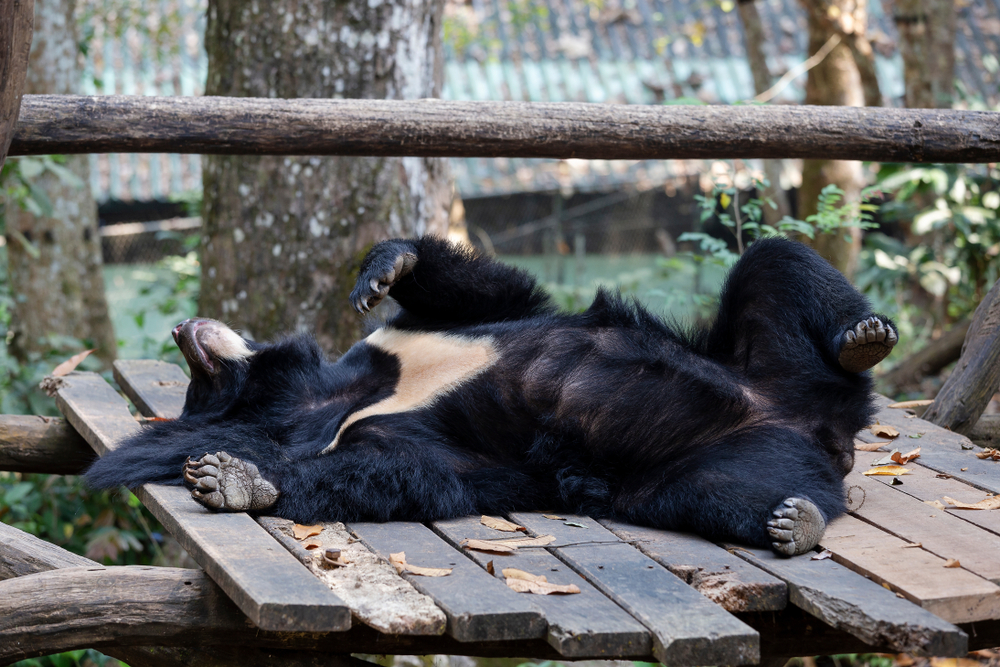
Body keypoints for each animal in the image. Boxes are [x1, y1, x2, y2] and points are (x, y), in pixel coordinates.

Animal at [88, 237, 900, 556]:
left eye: (198, 379)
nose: (184, 327)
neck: (337, 390)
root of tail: (826, 433)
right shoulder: (380, 433)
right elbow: (398, 471)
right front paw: (232, 478)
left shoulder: (412, 336)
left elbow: (496, 292)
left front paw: (384, 269)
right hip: (705, 467)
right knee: (718, 493)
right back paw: (793, 520)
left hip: (772, 363)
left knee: (774, 265)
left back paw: (864, 334)